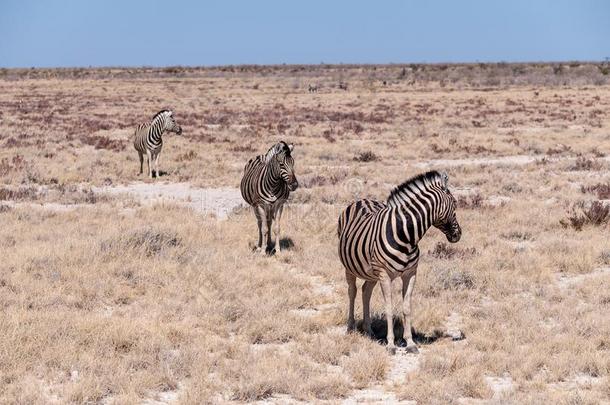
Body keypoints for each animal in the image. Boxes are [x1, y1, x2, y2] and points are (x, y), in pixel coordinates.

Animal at [334, 170, 458, 354]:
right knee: (352, 291)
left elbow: (406, 308)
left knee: (365, 291)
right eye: (455, 204)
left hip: (371, 272)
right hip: (350, 268)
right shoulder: (385, 275)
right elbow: (389, 308)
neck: (407, 236)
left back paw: (369, 331)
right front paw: (391, 344)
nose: (458, 234)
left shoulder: (410, 274)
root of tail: (361, 199)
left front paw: (410, 342)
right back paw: (350, 328)